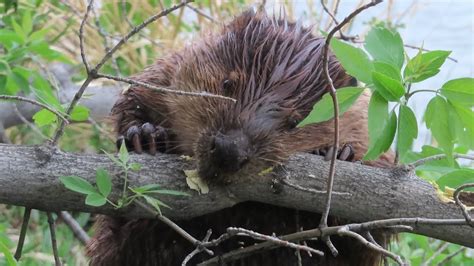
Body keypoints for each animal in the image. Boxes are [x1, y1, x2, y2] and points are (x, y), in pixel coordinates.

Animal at [87, 9, 394, 264]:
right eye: (227, 83)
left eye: (296, 121)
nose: (229, 150)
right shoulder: (172, 67)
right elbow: (138, 95)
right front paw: (144, 135)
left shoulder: (366, 125)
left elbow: (372, 230)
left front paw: (340, 153)